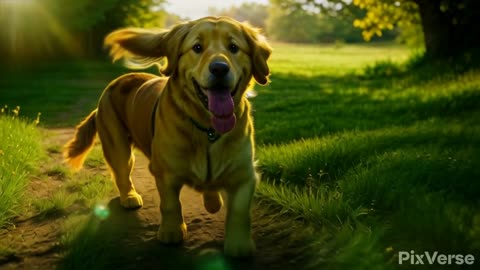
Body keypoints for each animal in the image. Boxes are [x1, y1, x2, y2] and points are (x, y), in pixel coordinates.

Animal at [64, 15, 272, 256]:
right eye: (197, 47)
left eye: (234, 47)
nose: (219, 68)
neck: (208, 130)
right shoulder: (164, 172)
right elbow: (171, 204)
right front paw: (171, 232)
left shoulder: (245, 174)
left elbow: (239, 210)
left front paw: (239, 245)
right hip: (118, 147)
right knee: (122, 174)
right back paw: (130, 197)